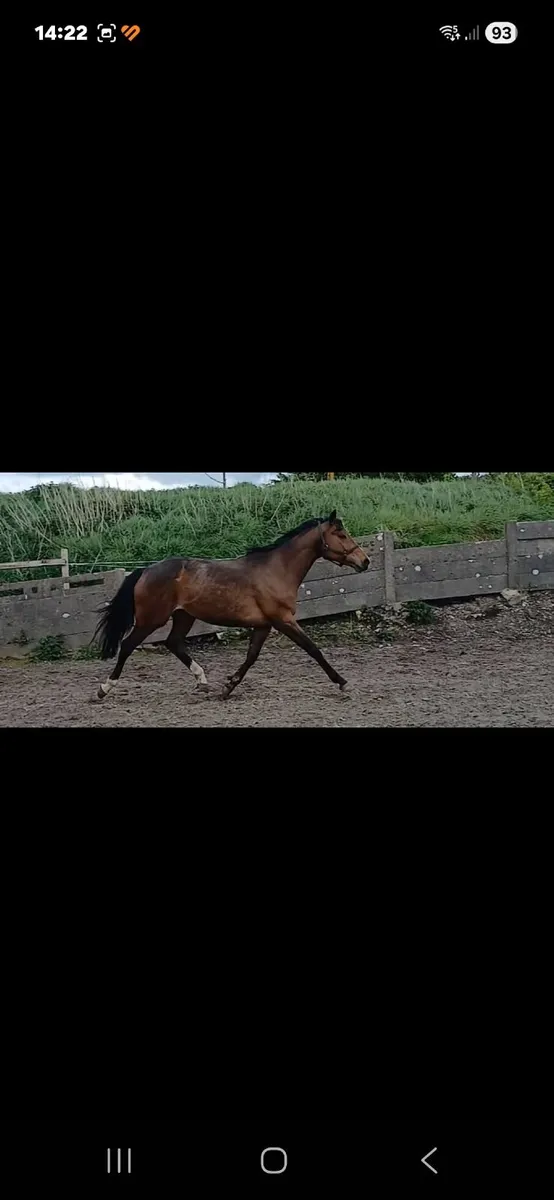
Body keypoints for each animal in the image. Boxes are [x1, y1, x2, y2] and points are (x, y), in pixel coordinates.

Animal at [92, 510, 370, 702]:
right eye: (341, 535)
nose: (364, 561)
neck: (276, 570)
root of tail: (146, 570)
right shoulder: (283, 620)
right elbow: (313, 649)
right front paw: (343, 682)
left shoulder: (264, 625)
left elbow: (251, 657)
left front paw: (228, 687)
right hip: (152, 619)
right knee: (128, 645)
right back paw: (104, 688)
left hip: (184, 616)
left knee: (174, 643)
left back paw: (203, 681)